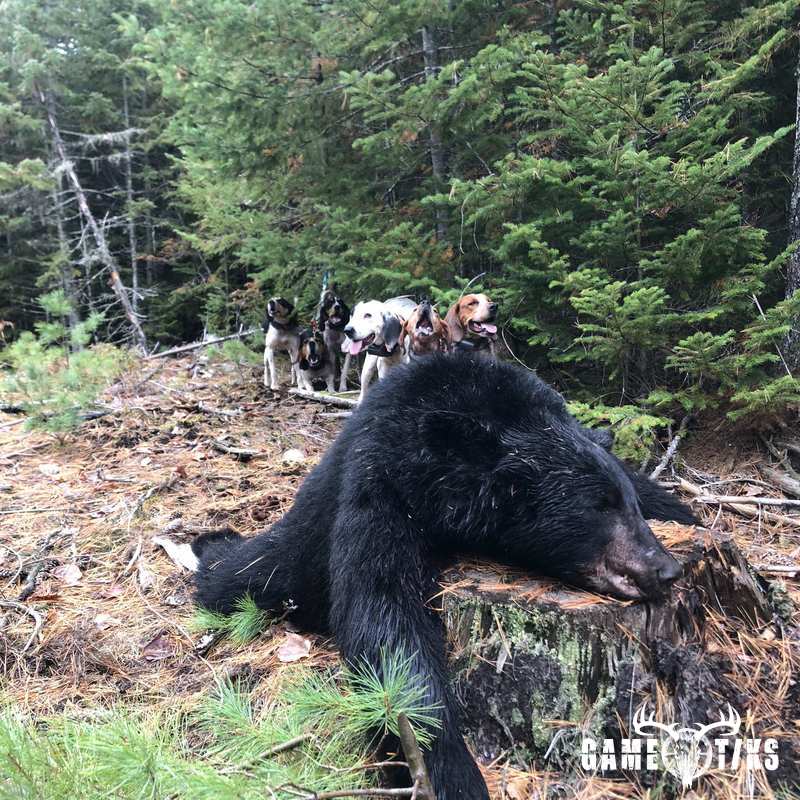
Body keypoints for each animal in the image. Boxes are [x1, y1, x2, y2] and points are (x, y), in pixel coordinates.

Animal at [193, 353, 696, 799]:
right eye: (598, 507)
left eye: (628, 503)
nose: (665, 569)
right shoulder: (382, 484)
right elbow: (387, 625)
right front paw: (452, 775)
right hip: (306, 528)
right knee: (249, 572)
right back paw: (207, 545)